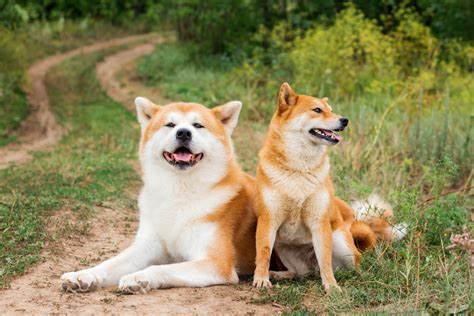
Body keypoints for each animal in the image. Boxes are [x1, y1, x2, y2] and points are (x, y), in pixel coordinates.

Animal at [61, 97, 260, 292]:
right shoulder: (145, 246)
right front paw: (84, 274)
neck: (179, 191)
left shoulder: (217, 262)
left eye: (198, 125)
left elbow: (161, 268)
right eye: (170, 124)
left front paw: (139, 277)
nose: (183, 133)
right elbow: (109, 263)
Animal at [254, 83, 406, 292]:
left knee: (351, 264)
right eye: (317, 110)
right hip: (283, 247)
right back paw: (278, 274)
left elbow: (325, 260)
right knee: (299, 273)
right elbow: (263, 253)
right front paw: (261, 279)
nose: (345, 120)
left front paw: (331, 286)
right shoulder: (268, 220)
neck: (299, 169)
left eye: (331, 110)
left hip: (341, 244)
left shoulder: (319, 222)